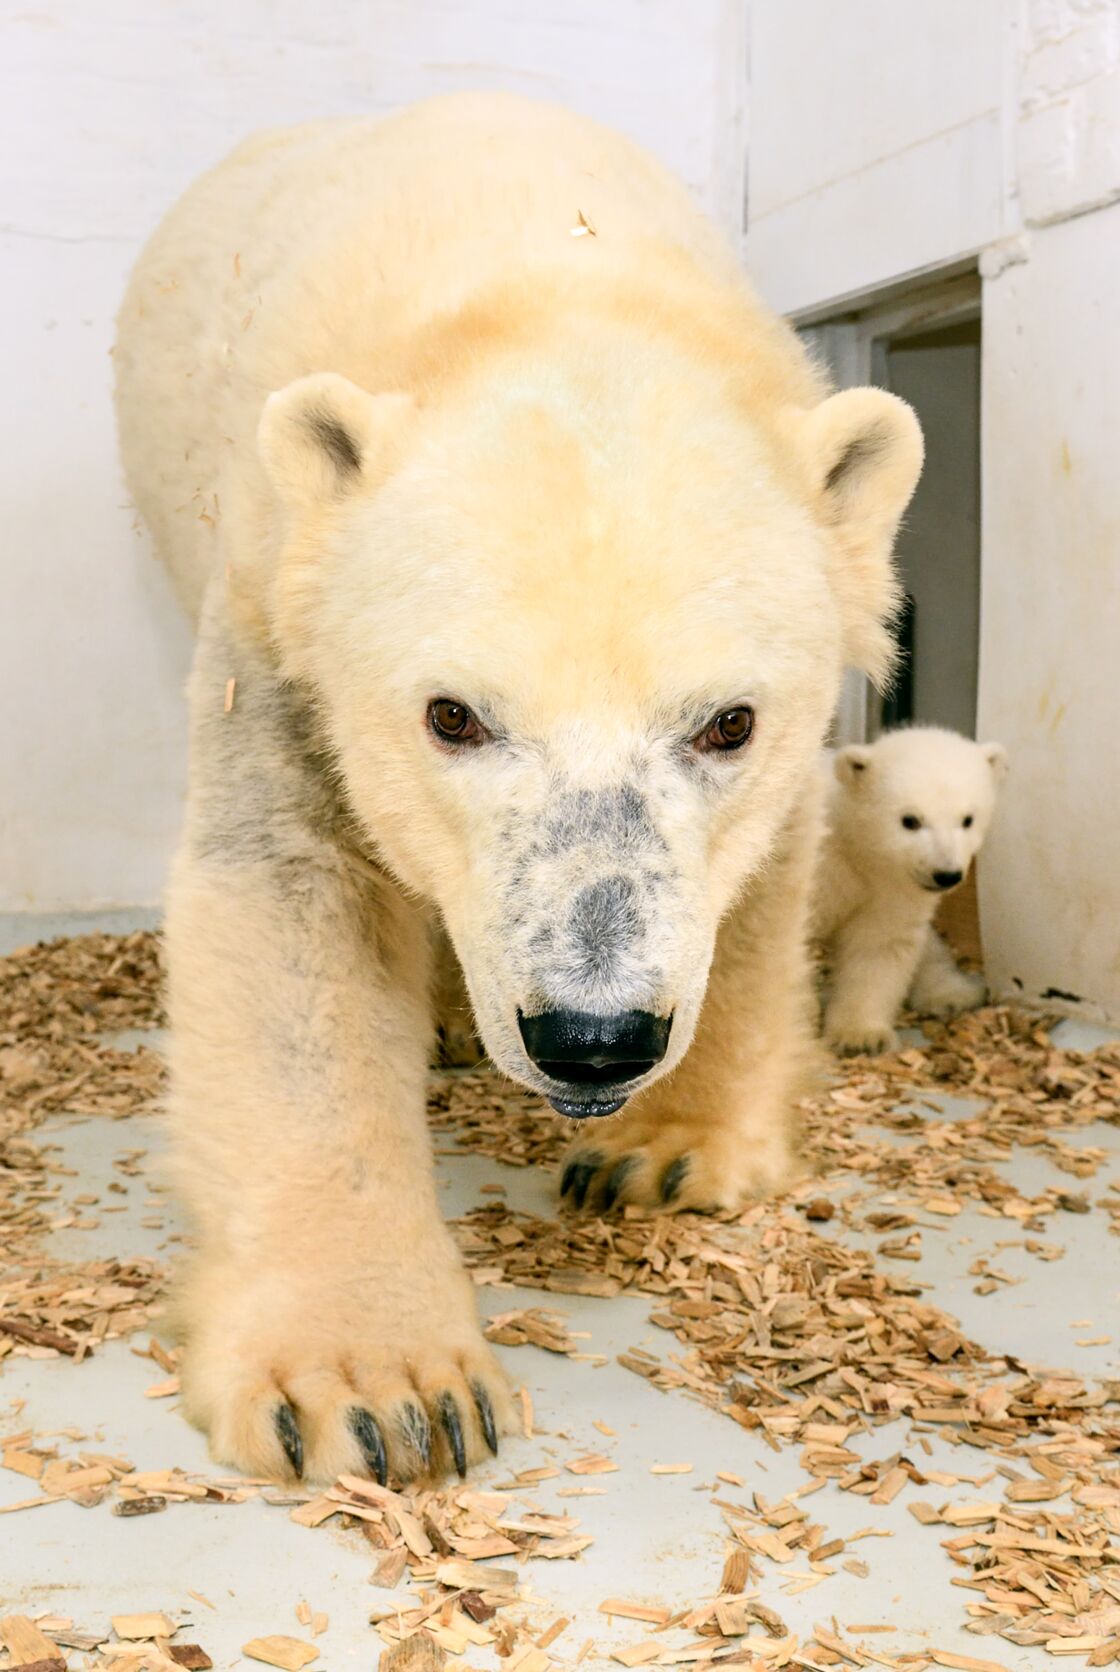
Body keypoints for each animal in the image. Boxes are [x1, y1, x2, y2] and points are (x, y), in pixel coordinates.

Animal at [113, 91, 922, 1484]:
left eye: (727, 723)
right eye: (452, 715)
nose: (592, 1036)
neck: (549, 273)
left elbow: (760, 889)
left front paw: (663, 1155)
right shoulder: (278, 619)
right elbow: (293, 907)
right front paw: (378, 1384)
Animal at [815, 725, 1009, 1050]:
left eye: (968, 819)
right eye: (910, 820)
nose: (946, 874)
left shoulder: (894, 885)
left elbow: (879, 944)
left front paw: (860, 1036)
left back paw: (953, 993)